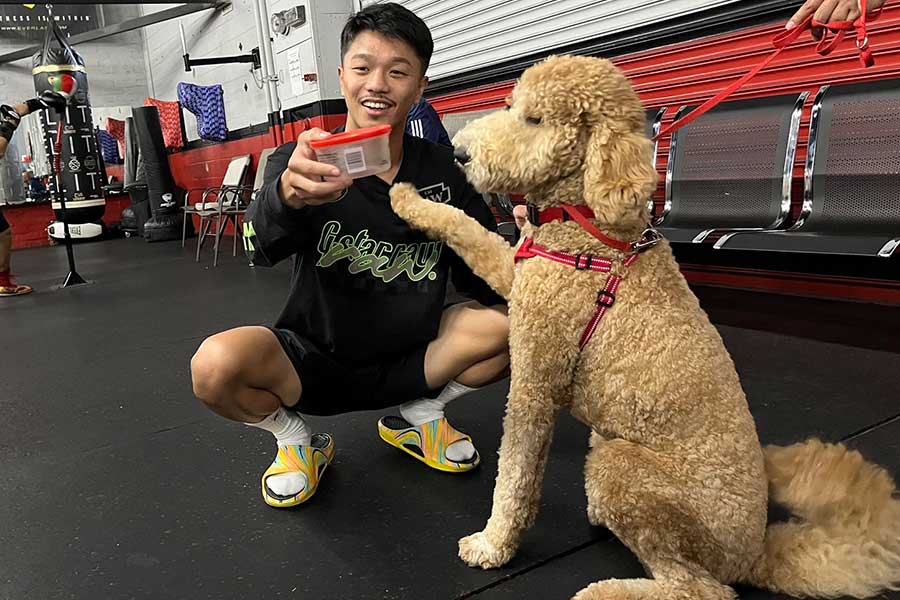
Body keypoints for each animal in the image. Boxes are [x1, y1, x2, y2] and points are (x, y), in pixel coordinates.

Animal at [392, 54, 900, 596]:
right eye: (510, 105)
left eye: (535, 119)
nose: (461, 154)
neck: (588, 224)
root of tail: (756, 553)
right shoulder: (521, 272)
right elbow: (468, 230)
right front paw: (408, 199)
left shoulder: (535, 376)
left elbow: (516, 474)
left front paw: (493, 544)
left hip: (624, 468)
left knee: (699, 587)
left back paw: (608, 590)